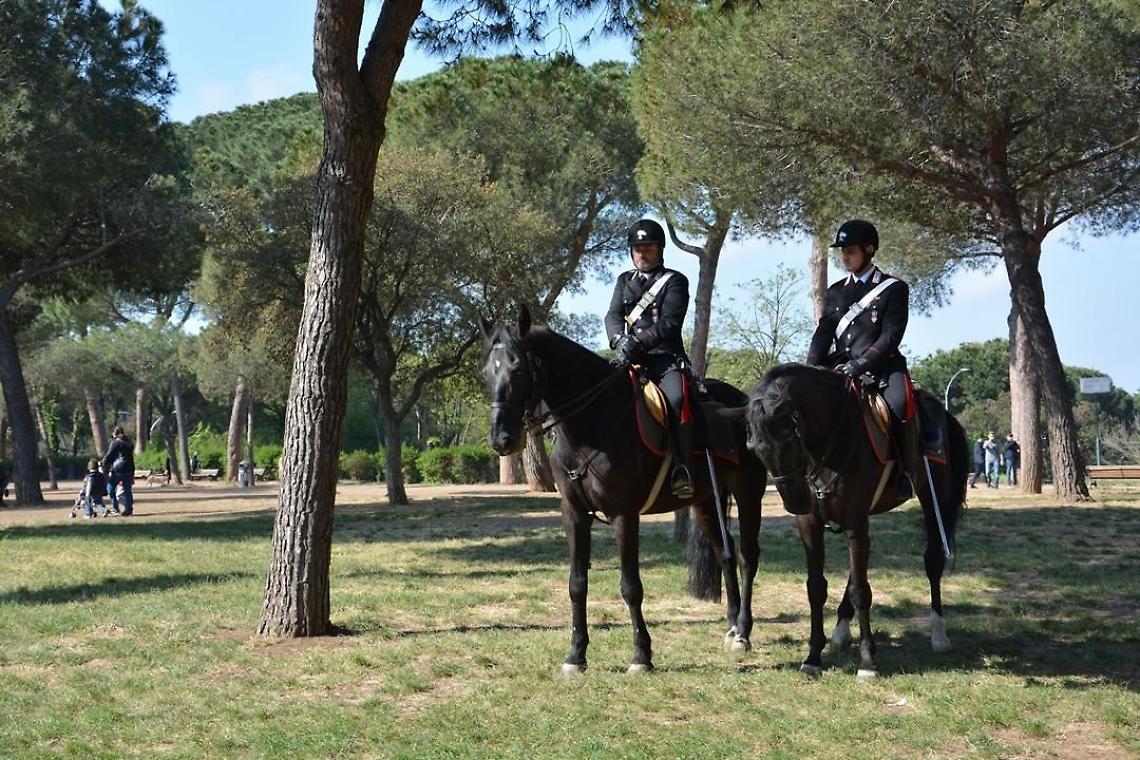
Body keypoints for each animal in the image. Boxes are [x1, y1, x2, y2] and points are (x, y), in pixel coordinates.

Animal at [479, 307, 768, 674]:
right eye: (486, 372)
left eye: (518, 368)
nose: (503, 440)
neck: (591, 421)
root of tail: (743, 401)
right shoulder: (574, 513)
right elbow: (577, 584)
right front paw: (575, 655)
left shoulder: (623, 515)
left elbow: (631, 586)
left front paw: (641, 656)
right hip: (704, 501)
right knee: (725, 553)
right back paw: (731, 628)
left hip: (749, 492)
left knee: (747, 555)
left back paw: (743, 631)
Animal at [744, 363, 968, 679]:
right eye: (753, 448)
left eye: (789, 439)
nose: (795, 502)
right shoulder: (811, 525)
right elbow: (816, 587)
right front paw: (813, 656)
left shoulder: (854, 521)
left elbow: (861, 591)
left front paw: (867, 660)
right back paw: (840, 630)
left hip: (934, 499)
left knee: (932, 560)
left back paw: (938, 633)